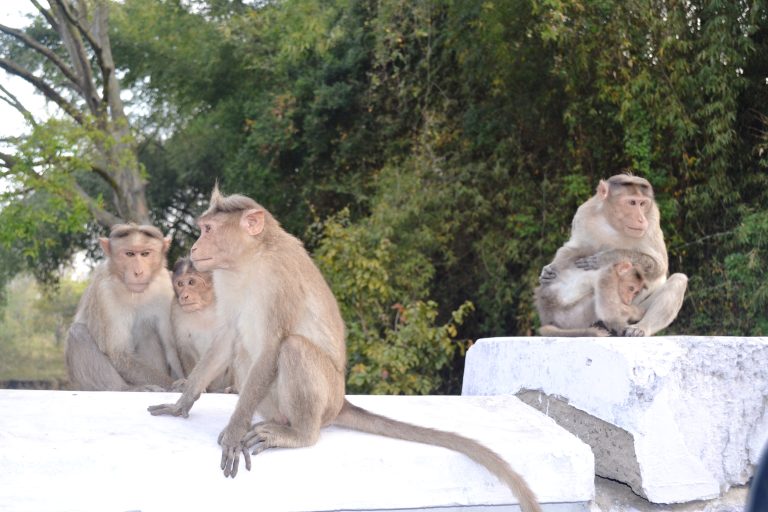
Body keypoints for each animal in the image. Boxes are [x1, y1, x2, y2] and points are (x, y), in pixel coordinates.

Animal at [63, 224, 182, 392]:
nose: (138, 272)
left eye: (145, 254)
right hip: (83, 385)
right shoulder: (105, 292)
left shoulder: (166, 287)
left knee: (148, 331)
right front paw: (173, 385)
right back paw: (126, 389)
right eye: (129, 254)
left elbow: (171, 349)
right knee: (77, 332)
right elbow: (119, 353)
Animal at [171, 258, 234, 394]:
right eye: (180, 284)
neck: (205, 308)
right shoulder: (176, 310)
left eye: (191, 282)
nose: (184, 296)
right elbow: (185, 346)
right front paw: (188, 383)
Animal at [536, 174, 688, 338]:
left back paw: (641, 327)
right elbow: (574, 248)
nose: (641, 219)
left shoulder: (652, 217)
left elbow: (660, 266)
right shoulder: (583, 213)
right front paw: (547, 271)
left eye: (642, 204)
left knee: (678, 280)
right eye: (632, 202)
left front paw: (607, 257)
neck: (613, 224)